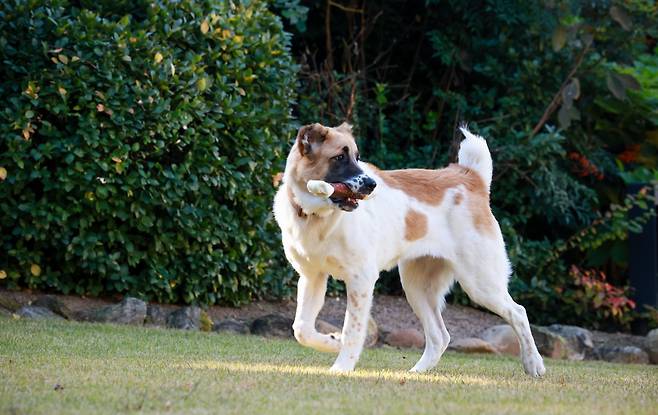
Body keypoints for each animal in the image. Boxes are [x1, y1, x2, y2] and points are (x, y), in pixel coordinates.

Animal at [272, 121, 544, 376]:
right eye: (339, 157)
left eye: (357, 157)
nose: (371, 185)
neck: (316, 217)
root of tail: (471, 177)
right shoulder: (312, 277)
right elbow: (301, 329)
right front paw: (331, 341)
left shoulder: (361, 279)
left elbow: (352, 329)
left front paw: (342, 366)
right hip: (417, 287)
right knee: (440, 336)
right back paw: (418, 372)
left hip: (480, 282)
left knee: (518, 312)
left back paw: (534, 364)